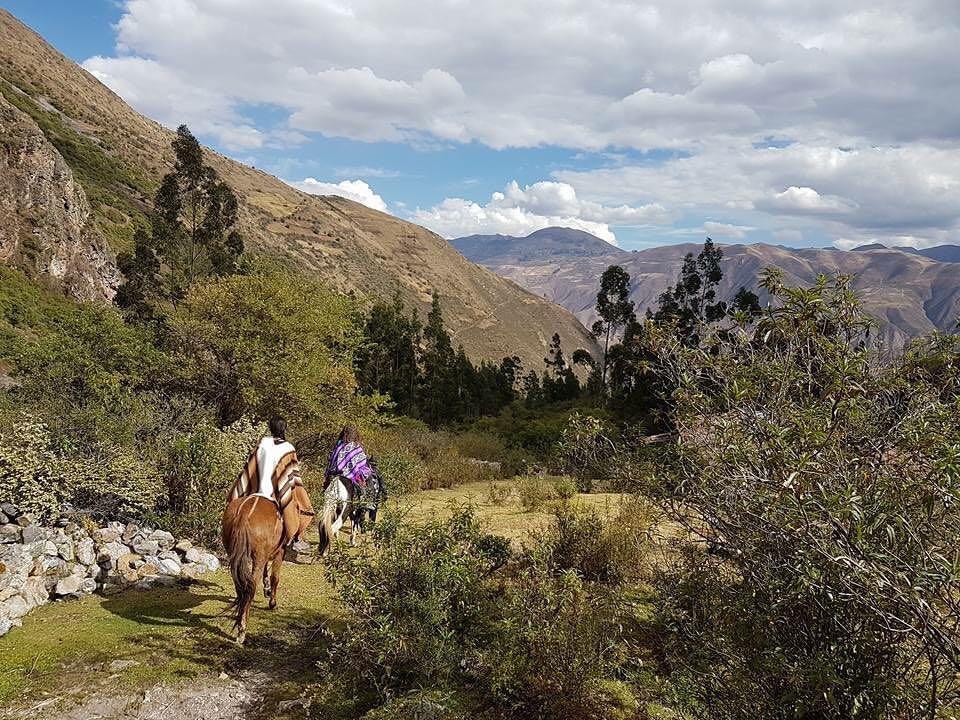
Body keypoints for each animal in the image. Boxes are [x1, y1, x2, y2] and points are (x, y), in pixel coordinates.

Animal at [219, 486, 314, 644]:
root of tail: (243, 514)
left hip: (234, 555)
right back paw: (242, 629)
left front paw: (267, 589)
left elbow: (266, 573)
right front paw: (272, 602)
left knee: (240, 586)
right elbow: (275, 577)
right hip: (258, 557)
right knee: (250, 587)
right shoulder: (280, 552)